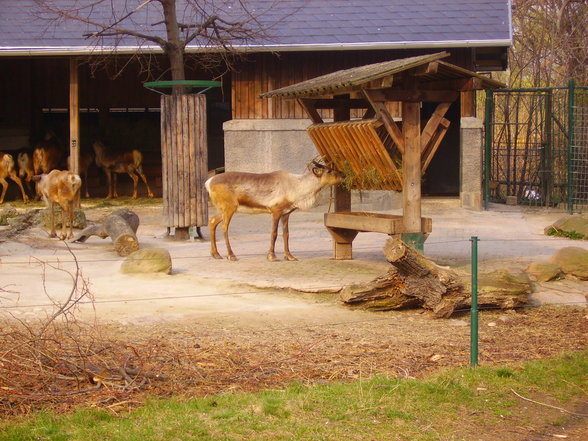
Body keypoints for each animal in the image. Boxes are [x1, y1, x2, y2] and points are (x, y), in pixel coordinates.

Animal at [207, 162, 344, 262]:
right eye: (329, 171)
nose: (343, 175)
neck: (298, 190)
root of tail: (208, 183)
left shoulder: (286, 213)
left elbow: (286, 234)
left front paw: (290, 256)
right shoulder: (275, 210)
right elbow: (274, 233)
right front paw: (271, 256)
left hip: (225, 209)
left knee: (212, 221)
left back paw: (216, 254)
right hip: (229, 207)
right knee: (224, 227)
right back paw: (231, 255)